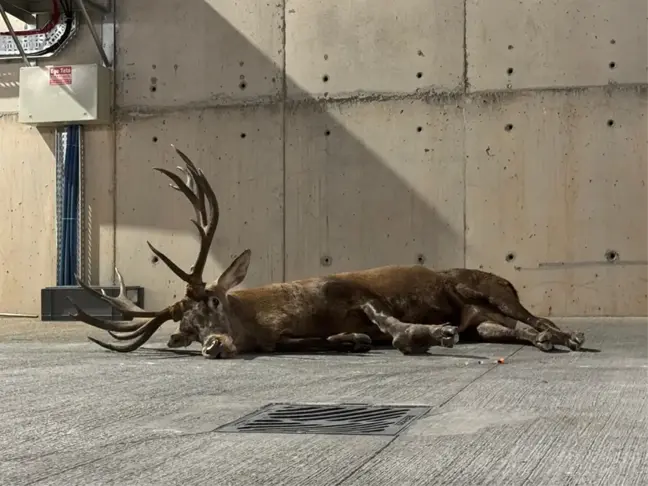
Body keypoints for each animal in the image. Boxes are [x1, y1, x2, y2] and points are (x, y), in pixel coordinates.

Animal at [68, 146, 584, 358]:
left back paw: (569, 336)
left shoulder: (352, 289)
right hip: (485, 320)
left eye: (214, 301)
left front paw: (430, 333)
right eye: (188, 332)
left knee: (537, 317)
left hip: (489, 290)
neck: (279, 315)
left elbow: (389, 322)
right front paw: (351, 340)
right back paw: (544, 340)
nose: (212, 346)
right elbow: (322, 339)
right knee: (515, 329)